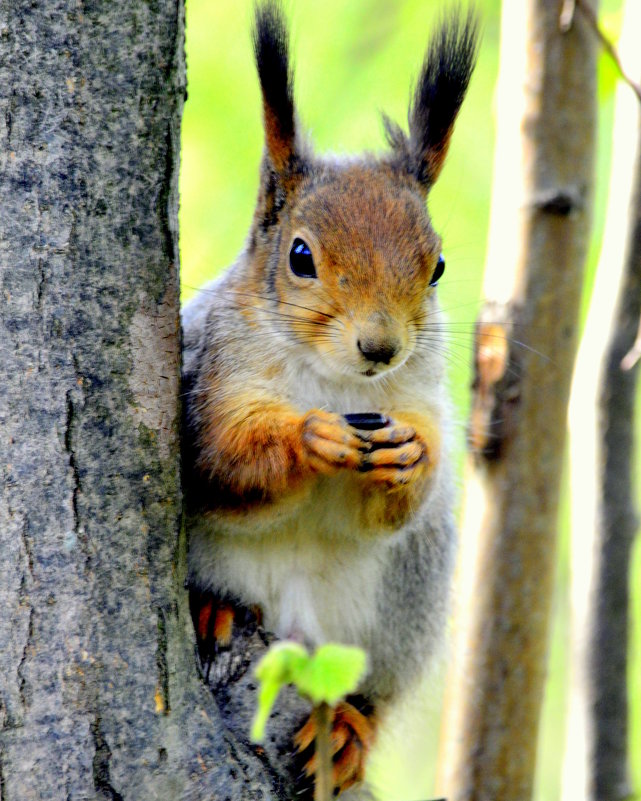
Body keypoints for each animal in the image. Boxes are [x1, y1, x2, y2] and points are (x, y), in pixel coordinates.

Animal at [182, 3, 478, 796]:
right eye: (300, 257)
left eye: (438, 265)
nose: (381, 347)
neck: (338, 382)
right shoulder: (209, 377)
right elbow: (222, 465)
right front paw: (307, 439)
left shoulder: (421, 399)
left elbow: (390, 505)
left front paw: (409, 457)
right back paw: (213, 607)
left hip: (405, 608)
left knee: (374, 692)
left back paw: (350, 728)